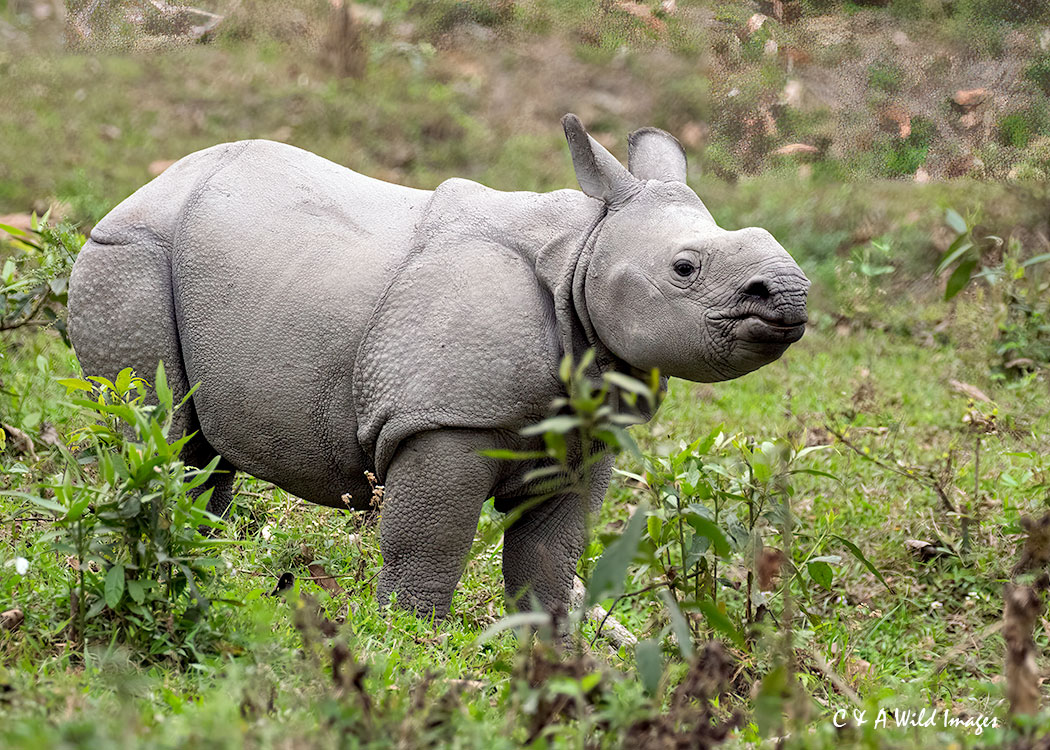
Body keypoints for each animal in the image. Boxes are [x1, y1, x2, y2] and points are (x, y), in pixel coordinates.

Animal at [68, 114, 809, 619]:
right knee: (160, 430)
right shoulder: (443, 418)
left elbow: (549, 553)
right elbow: (431, 540)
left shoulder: (586, 430)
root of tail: (146, 189)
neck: (582, 254)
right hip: (128, 255)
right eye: (685, 269)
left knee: (202, 452)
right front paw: (410, 632)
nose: (792, 293)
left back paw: (203, 561)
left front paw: (549, 646)